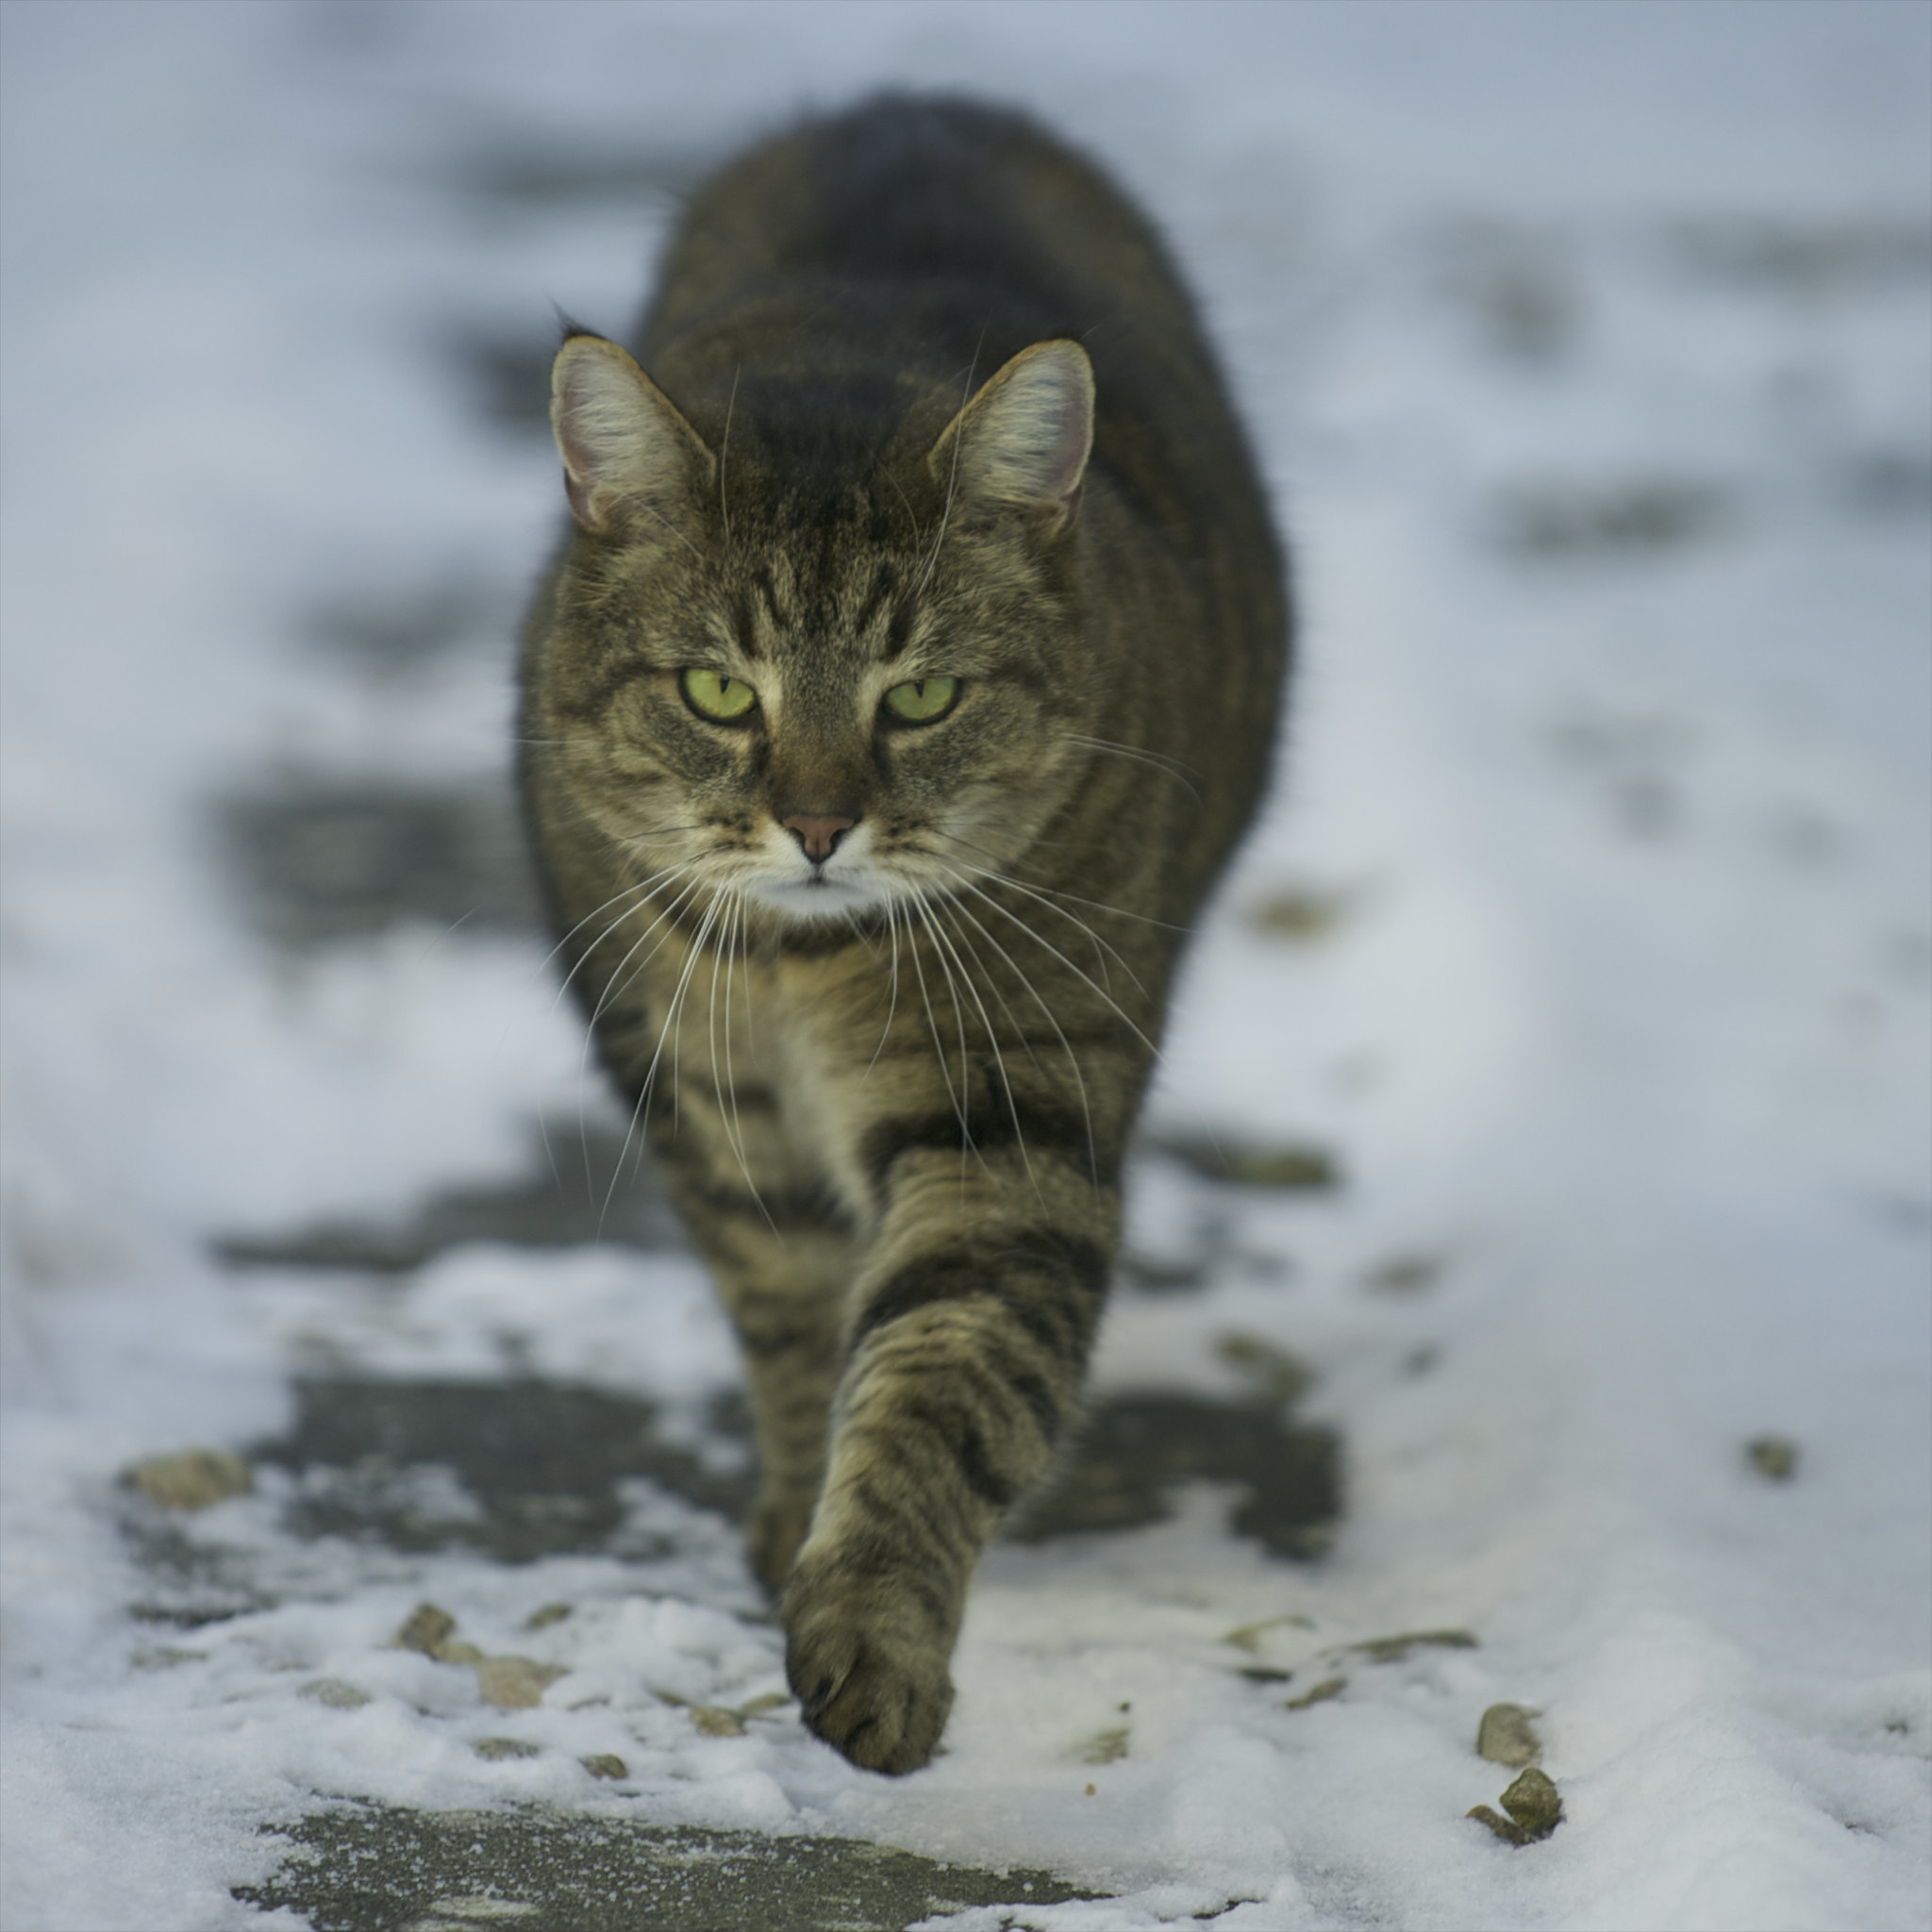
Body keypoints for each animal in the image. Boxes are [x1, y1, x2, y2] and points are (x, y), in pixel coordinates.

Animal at [521, 93, 1291, 1777]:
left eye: (922, 696)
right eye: (719, 691)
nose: (818, 825)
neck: (805, 977)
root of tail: (909, 95)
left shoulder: (1012, 1112)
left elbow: (941, 1379)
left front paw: (870, 1633)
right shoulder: (706, 1102)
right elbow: (796, 1326)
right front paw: (792, 1519)